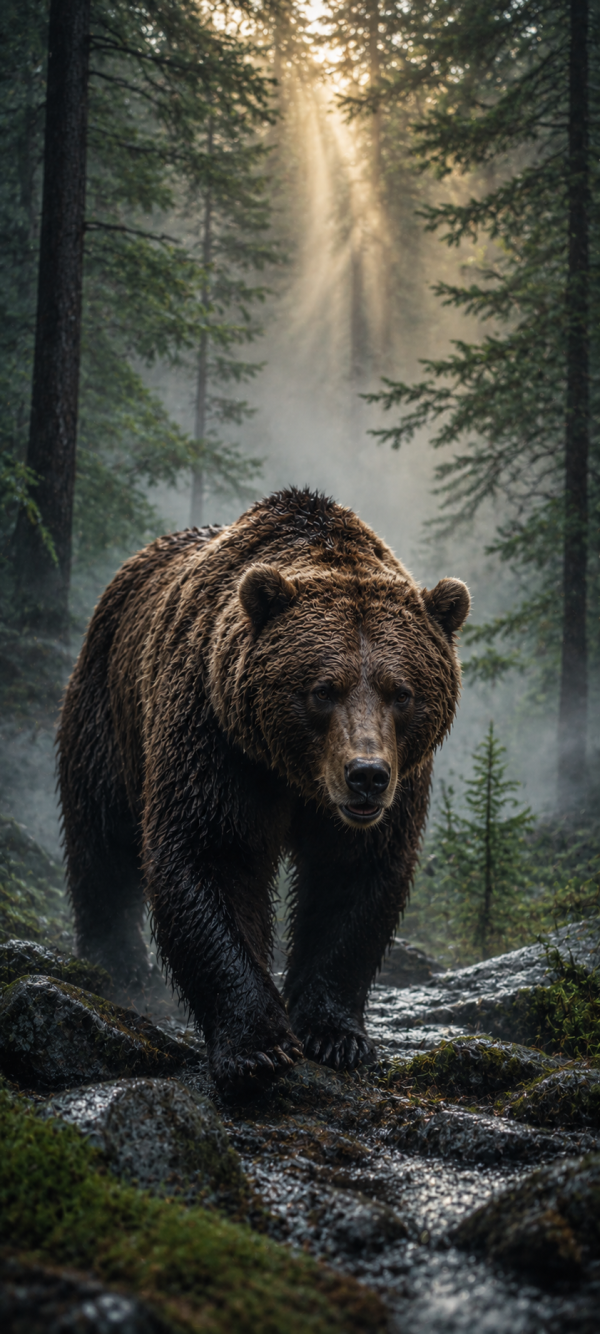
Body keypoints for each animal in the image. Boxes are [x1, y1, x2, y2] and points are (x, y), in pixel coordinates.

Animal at [58, 487, 470, 1093]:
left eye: (402, 692)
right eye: (323, 689)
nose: (366, 774)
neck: (297, 774)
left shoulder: (398, 785)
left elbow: (354, 877)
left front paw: (335, 1034)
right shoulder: (219, 738)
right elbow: (213, 854)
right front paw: (259, 1046)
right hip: (109, 706)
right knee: (101, 832)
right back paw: (117, 959)